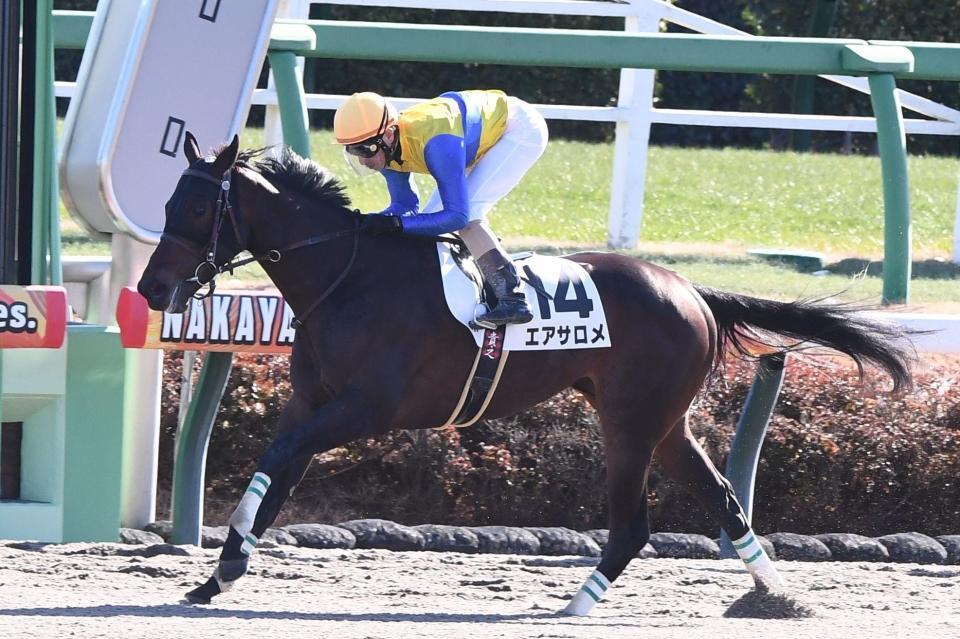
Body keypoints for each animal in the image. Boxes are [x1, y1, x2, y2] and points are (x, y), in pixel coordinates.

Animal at [137, 132, 914, 613]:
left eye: (199, 205)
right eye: (168, 202)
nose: (151, 288)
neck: (347, 277)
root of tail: (693, 291)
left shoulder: (368, 408)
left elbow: (277, 457)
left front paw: (230, 555)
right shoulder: (313, 399)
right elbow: (276, 469)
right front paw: (220, 572)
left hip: (630, 423)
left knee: (634, 523)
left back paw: (575, 605)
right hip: (664, 423)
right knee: (724, 498)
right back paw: (778, 596)